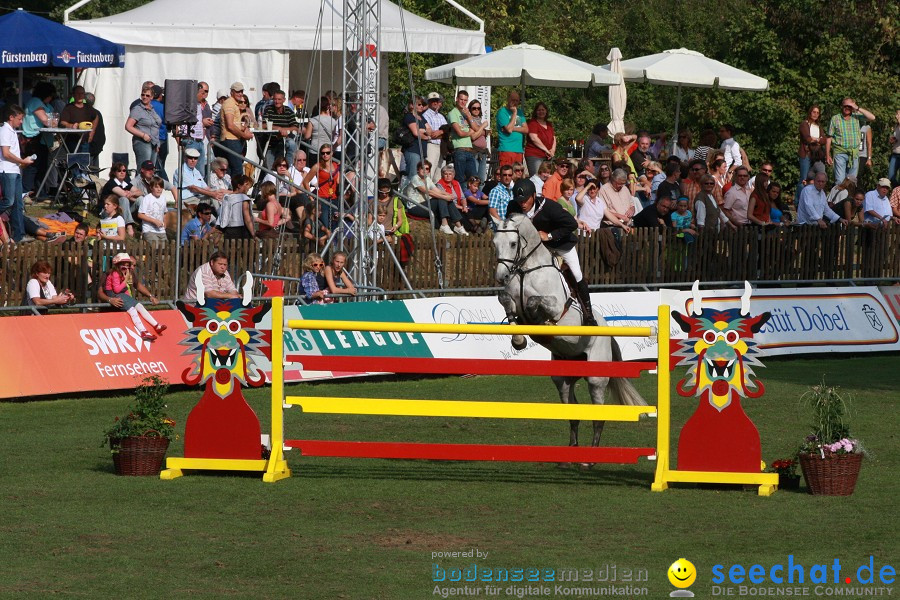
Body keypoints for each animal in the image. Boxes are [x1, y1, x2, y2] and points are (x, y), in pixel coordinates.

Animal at [492, 213, 648, 448]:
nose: (501, 277)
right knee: (572, 410)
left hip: (596, 378)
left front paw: (542, 324)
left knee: (598, 414)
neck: (527, 270)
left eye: (512, 243)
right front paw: (518, 340)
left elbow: (535, 303)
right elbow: (506, 301)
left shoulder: (556, 306)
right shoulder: (511, 299)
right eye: (495, 244)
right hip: (563, 379)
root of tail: (608, 334)